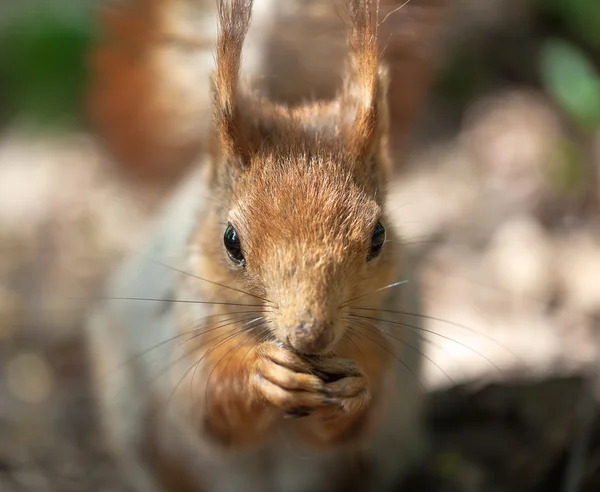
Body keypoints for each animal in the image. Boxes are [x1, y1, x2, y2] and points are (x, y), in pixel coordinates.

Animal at [86, 0, 448, 492]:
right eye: (230, 241)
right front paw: (263, 372)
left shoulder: (383, 339)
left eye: (378, 236)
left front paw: (353, 391)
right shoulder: (186, 330)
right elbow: (210, 410)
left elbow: (351, 425)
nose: (309, 333)